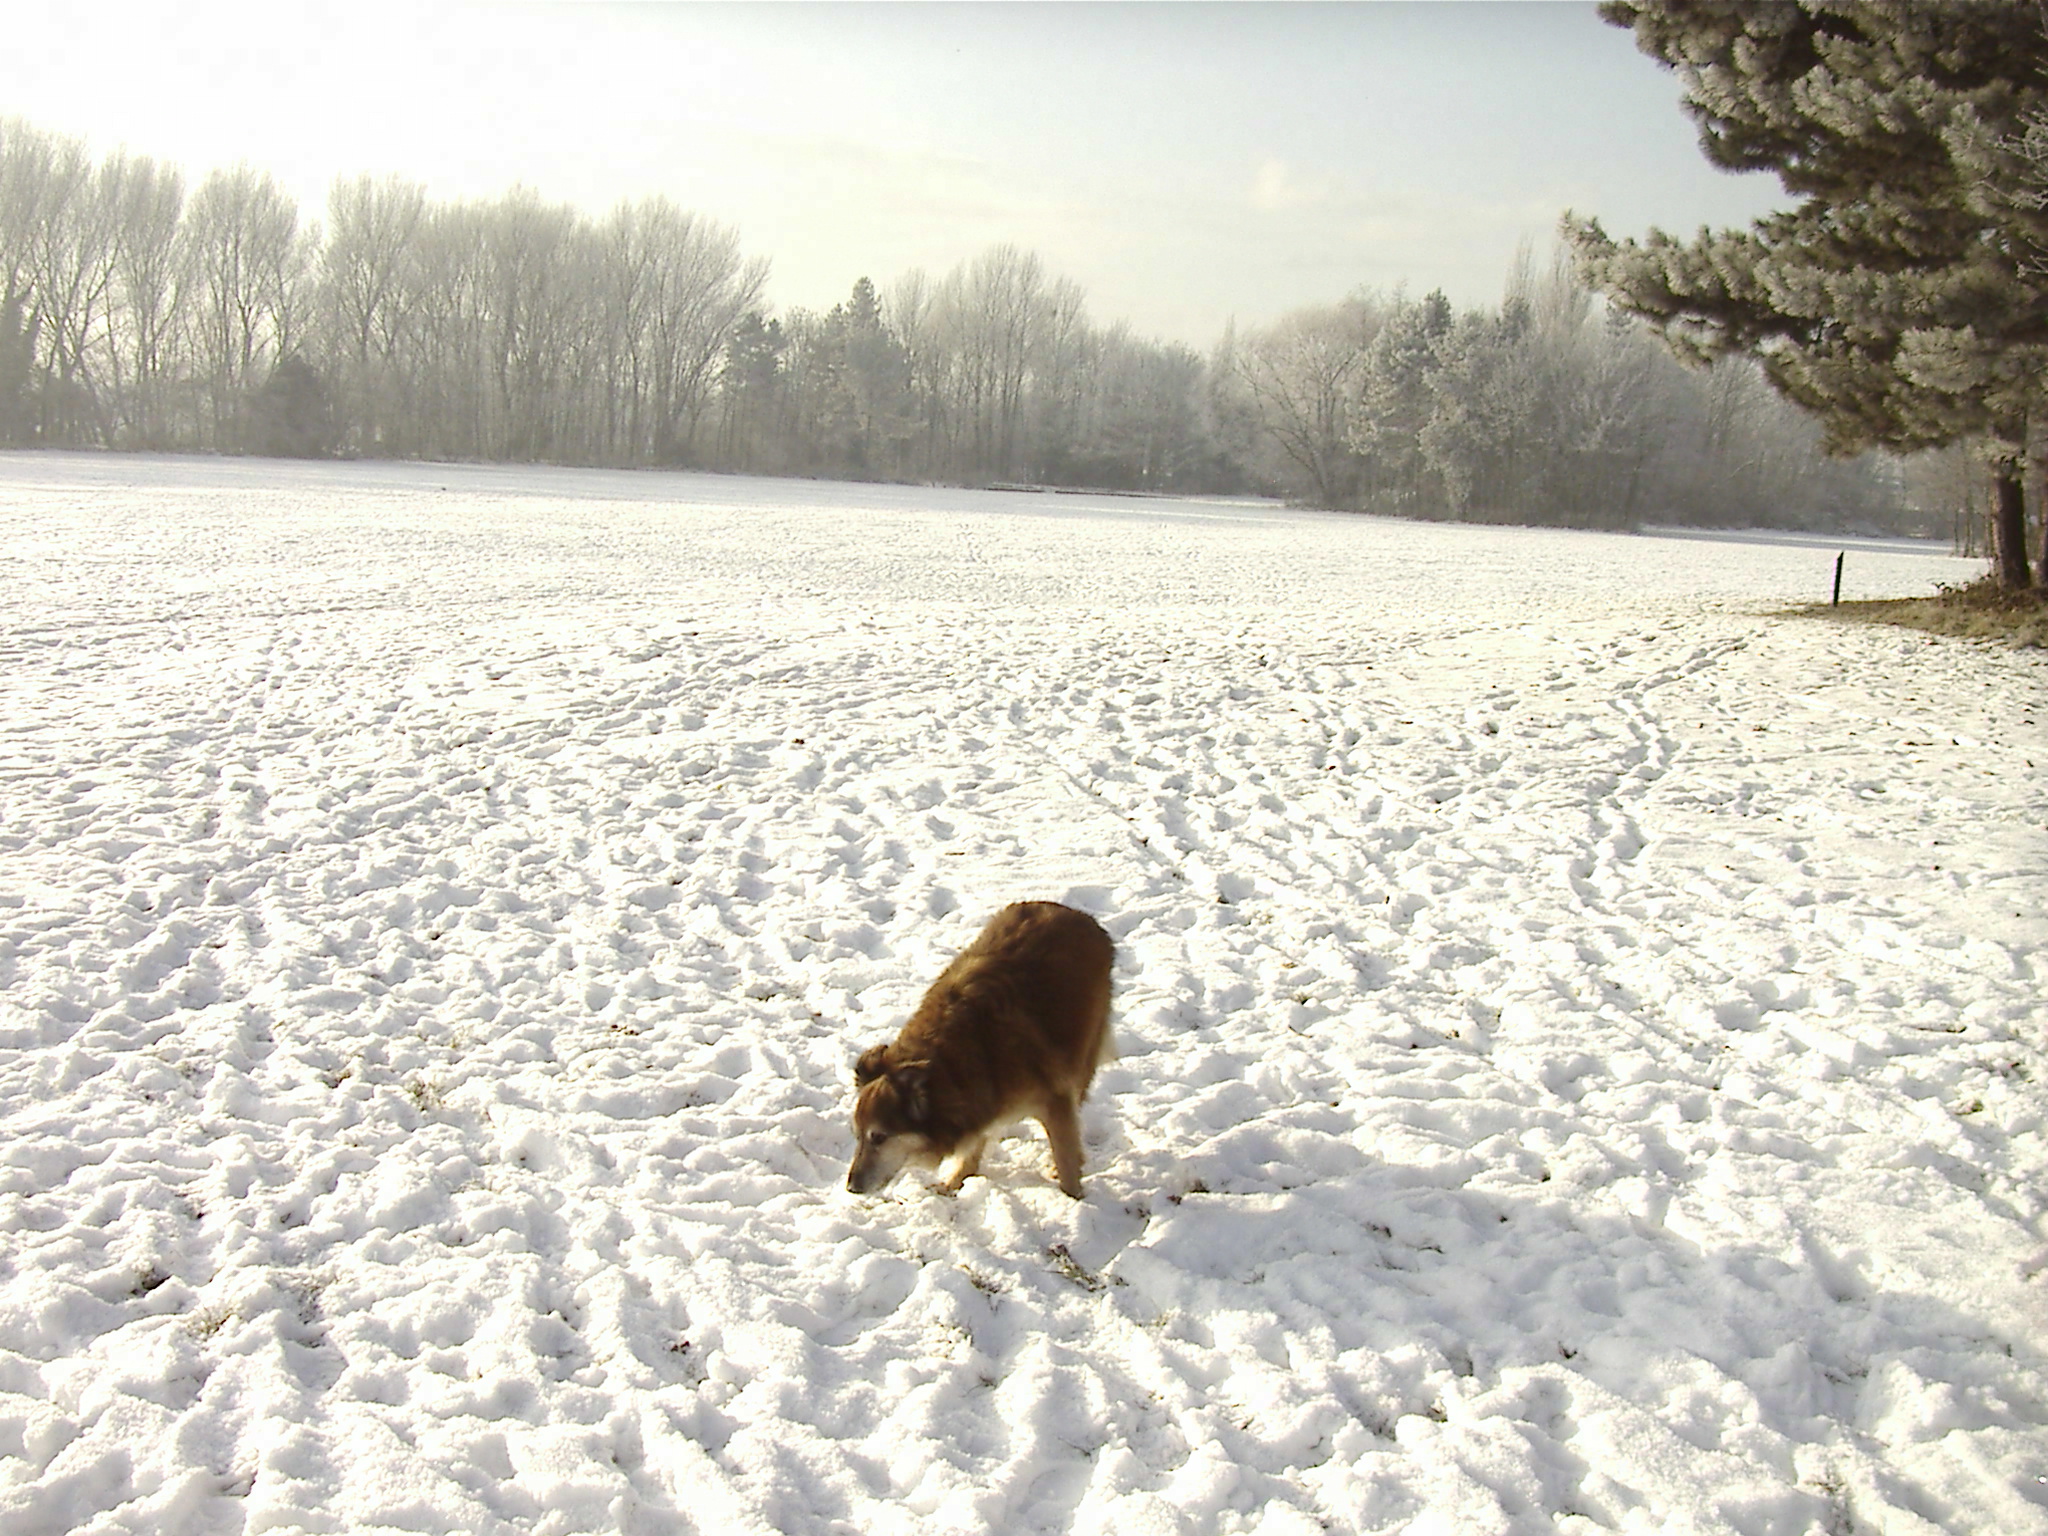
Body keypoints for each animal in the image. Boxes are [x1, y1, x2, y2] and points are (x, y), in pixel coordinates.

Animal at [839, 901, 1114, 1204]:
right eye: (856, 1136)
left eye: (878, 1137)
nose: (851, 1188)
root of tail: (1079, 915)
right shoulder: (980, 1099)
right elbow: (974, 1144)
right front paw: (954, 1183)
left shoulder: (1055, 1096)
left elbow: (1066, 1157)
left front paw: (1074, 1202)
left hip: (1083, 1051)